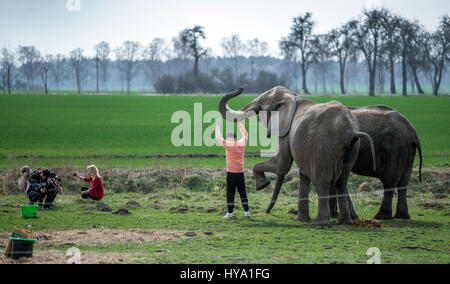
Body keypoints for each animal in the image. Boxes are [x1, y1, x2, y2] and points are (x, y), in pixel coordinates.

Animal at [219, 85, 376, 225]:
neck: (292, 97)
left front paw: (262, 185)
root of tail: (350, 131)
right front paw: (300, 219)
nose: (267, 211)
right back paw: (345, 222)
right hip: (352, 148)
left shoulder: (286, 132)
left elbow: (282, 164)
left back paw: (320, 223)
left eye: (262, 102)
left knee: (322, 181)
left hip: (323, 148)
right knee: (342, 182)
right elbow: (302, 174)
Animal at [266, 102, 424, 220]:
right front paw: (339, 215)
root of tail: (413, 132)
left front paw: (341, 215)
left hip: (394, 149)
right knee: (403, 182)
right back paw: (401, 216)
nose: (267, 212)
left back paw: (381, 216)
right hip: (406, 152)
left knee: (390, 181)